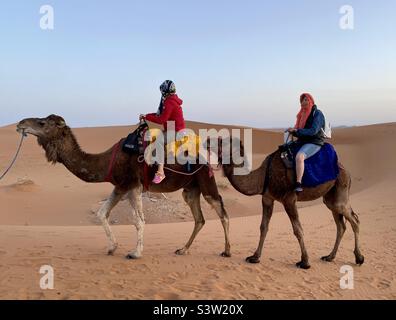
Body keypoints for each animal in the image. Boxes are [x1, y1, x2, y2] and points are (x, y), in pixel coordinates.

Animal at [16, 115, 232, 260]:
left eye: (42, 123)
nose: (20, 124)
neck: (107, 162)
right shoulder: (120, 186)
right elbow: (102, 213)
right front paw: (112, 247)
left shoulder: (133, 185)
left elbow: (139, 220)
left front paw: (135, 253)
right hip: (191, 188)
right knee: (199, 218)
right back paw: (183, 249)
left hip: (205, 179)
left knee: (222, 211)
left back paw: (227, 250)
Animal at [210, 136, 366, 268]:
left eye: (222, 141)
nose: (207, 141)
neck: (264, 175)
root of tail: (347, 171)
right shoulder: (267, 198)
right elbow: (263, 227)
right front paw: (255, 257)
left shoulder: (289, 199)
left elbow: (298, 229)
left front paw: (304, 262)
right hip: (330, 198)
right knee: (341, 225)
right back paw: (329, 256)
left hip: (340, 190)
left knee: (355, 220)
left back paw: (359, 258)